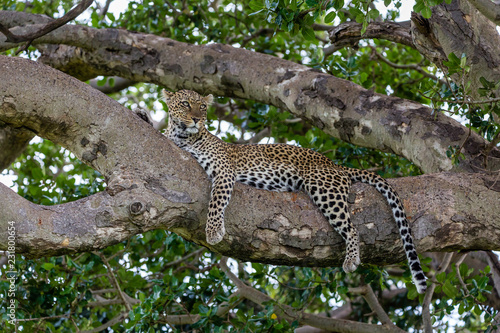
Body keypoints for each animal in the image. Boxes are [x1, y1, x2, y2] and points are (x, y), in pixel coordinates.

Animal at [162, 88, 428, 294]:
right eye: (185, 104)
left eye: (202, 107)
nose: (196, 119)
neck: (182, 137)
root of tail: (335, 165)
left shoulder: (224, 171)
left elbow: (216, 201)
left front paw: (214, 231)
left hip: (324, 188)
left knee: (352, 228)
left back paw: (351, 260)